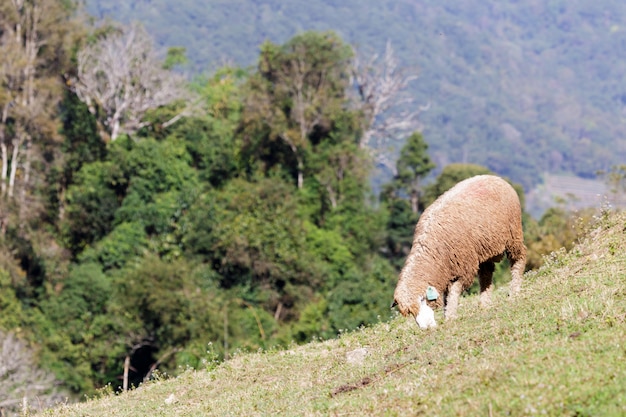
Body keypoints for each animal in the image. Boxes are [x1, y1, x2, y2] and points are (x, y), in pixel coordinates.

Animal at [392, 174, 524, 326]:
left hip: (513, 235)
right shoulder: (446, 271)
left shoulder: (464, 268)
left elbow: (453, 293)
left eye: (422, 300)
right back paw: (484, 304)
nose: (426, 327)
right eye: (411, 313)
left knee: (518, 259)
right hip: (483, 249)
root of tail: (493, 177)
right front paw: (447, 314)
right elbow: (446, 296)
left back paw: (515, 291)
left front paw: (450, 316)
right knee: (486, 274)